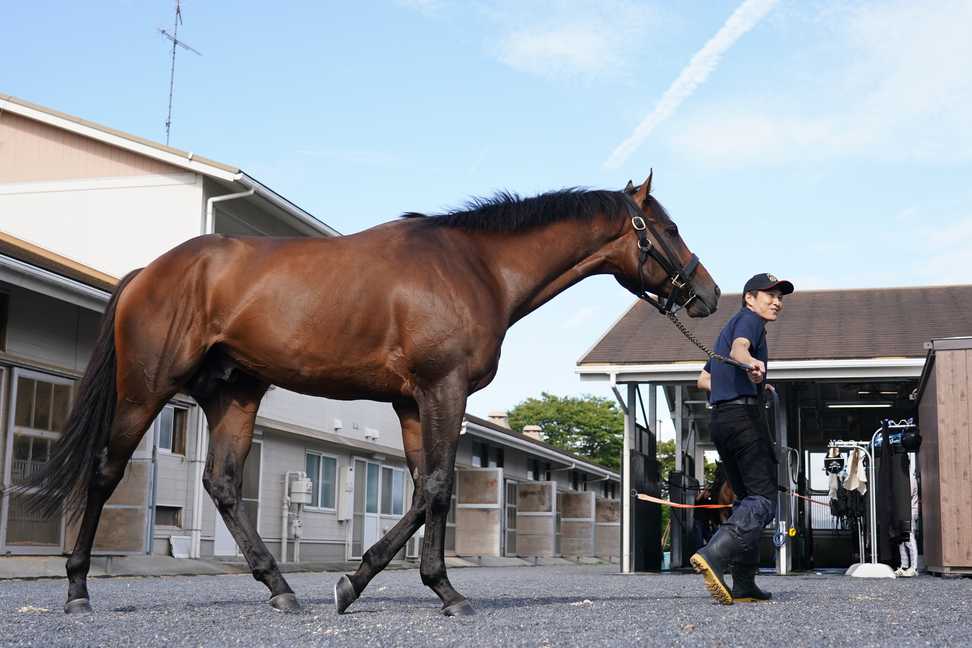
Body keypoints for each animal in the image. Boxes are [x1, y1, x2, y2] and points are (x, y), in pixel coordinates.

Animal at [22, 172, 720, 616]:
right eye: (669, 227)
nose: (707, 294)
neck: (476, 267)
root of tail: (150, 272)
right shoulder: (442, 390)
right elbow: (436, 486)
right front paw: (426, 591)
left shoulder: (414, 402)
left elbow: (423, 491)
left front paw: (378, 583)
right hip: (146, 390)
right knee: (106, 471)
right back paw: (78, 591)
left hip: (236, 394)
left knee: (220, 482)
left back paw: (281, 589)